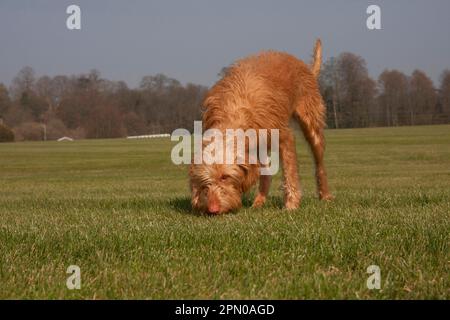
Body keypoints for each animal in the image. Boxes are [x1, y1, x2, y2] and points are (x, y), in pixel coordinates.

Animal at [188, 40, 332, 215]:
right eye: (205, 181)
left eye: (225, 177)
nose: (212, 209)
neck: (234, 114)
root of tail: (306, 68)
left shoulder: (284, 137)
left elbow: (290, 173)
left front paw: (291, 205)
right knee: (266, 173)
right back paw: (259, 202)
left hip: (312, 124)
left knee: (319, 164)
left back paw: (325, 195)